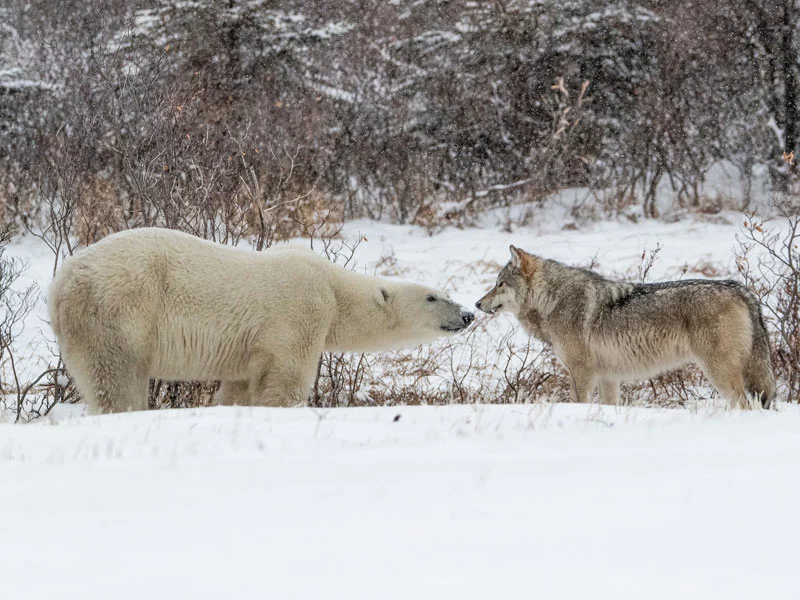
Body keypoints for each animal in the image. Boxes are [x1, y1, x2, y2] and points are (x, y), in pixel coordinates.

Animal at [48, 226, 476, 412]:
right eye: (433, 296)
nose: (468, 314)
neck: (333, 286)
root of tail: (63, 280)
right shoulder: (299, 311)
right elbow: (285, 377)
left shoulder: (246, 348)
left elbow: (239, 386)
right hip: (119, 309)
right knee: (117, 377)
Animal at [476, 245, 776, 408]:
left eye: (500, 284)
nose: (478, 304)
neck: (553, 299)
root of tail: (740, 289)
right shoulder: (609, 376)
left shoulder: (581, 373)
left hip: (718, 372)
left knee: (744, 405)